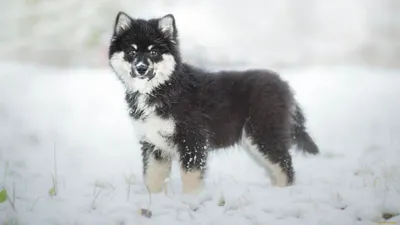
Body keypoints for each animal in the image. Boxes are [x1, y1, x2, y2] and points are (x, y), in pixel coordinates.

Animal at [108, 11, 320, 194]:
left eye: (153, 52)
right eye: (131, 51)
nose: (141, 68)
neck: (164, 88)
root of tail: (283, 84)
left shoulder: (193, 140)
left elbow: (190, 177)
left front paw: (190, 200)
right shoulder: (153, 144)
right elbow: (152, 178)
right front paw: (155, 201)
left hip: (263, 134)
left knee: (285, 167)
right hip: (254, 141)